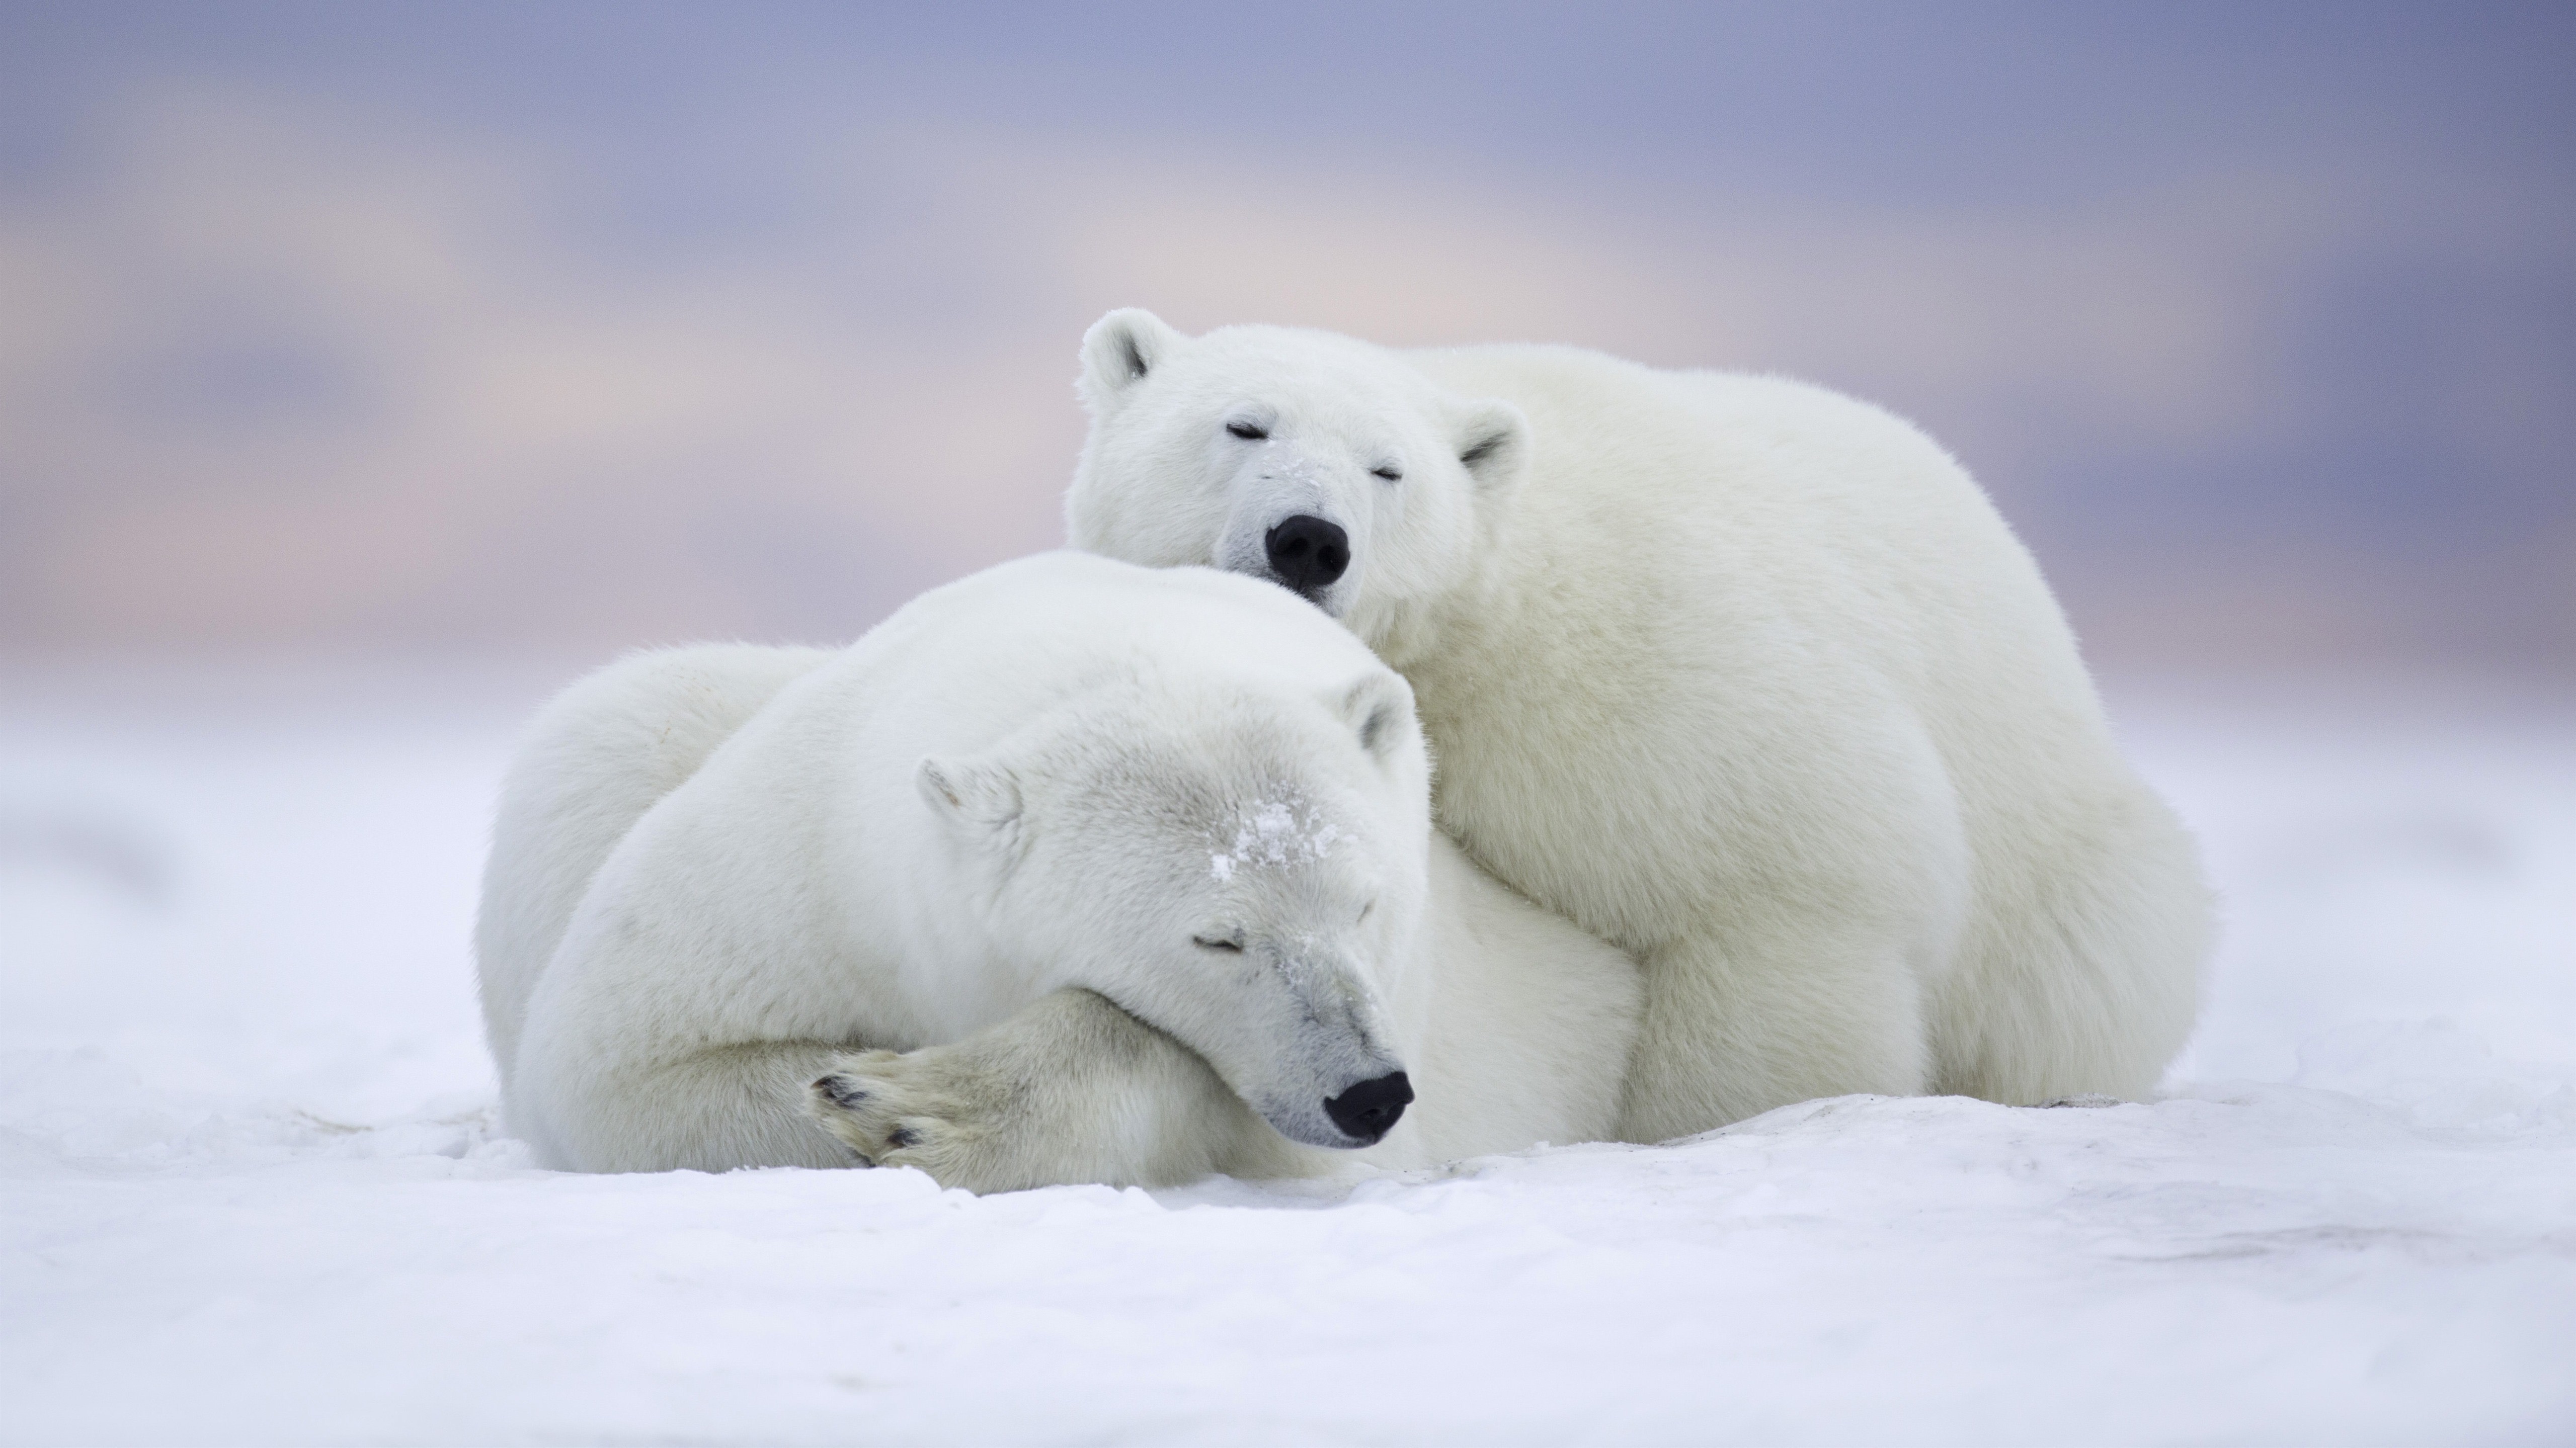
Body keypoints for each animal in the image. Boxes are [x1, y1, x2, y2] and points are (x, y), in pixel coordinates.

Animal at [476, 551, 1639, 1188]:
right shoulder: (803, 862)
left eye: (1365, 902)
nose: (1369, 1091)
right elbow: (620, 1065)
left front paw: (915, 1104)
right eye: (1219, 935)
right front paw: (864, 1089)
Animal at [1064, 310, 2213, 1143]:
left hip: (2061, 867)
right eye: (1243, 424)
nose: (1309, 538)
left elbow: (1780, 888)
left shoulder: (1648, 678)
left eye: (1389, 469)